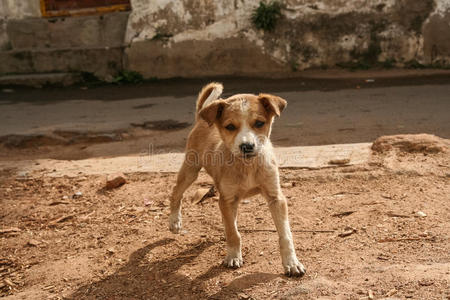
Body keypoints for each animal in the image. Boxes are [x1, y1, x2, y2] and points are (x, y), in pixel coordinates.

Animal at [169, 82, 306, 276]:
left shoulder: (276, 198)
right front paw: (233, 256)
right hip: (191, 170)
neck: (247, 166)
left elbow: (285, 235)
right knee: (176, 193)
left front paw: (292, 263)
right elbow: (234, 233)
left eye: (259, 123)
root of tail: (201, 118)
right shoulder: (226, 199)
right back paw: (175, 222)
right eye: (230, 127)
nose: (247, 146)